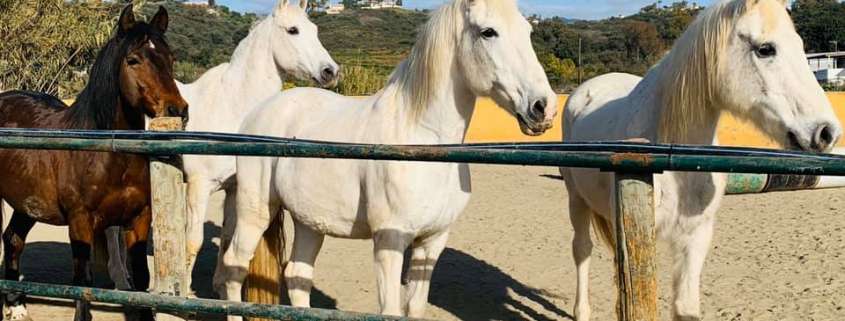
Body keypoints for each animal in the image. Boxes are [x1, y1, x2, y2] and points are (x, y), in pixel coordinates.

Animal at [0, 5, 186, 320]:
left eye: (170, 58)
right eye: (133, 60)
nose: (178, 109)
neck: (106, 154)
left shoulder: (139, 219)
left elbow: (141, 280)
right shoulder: (81, 223)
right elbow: (83, 282)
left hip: (26, 203)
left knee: (13, 239)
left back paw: (17, 306)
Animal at [178, 0, 340, 278]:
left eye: (315, 30)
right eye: (293, 30)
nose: (330, 71)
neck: (230, 106)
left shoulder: (234, 189)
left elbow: (228, 242)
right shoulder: (199, 186)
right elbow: (192, 243)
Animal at [213, 0, 552, 316]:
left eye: (528, 31)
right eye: (488, 32)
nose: (543, 107)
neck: (423, 142)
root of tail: (259, 112)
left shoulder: (432, 242)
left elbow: (415, 308)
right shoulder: (390, 240)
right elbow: (390, 310)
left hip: (309, 221)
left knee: (297, 275)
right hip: (256, 210)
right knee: (235, 266)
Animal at [560, 1, 836, 318]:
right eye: (766, 49)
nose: (827, 132)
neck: (676, 159)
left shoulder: (695, 237)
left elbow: (685, 306)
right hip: (576, 199)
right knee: (582, 249)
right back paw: (581, 311)